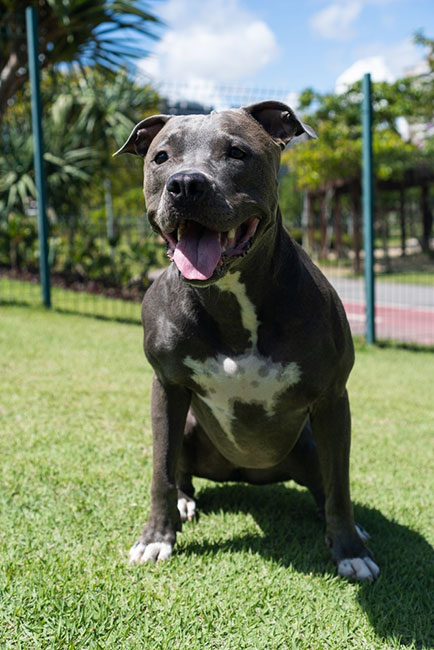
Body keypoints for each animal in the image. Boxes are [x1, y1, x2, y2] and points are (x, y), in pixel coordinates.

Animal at [115, 102, 380, 584]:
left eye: (237, 153)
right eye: (161, 157)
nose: (186, 184)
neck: (231, 297)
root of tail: (245, 473)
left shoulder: (333, 398)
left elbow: (341, 484)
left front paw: (350, 550)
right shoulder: (167, 387)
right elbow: (160, 471)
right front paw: (157, 538)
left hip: (309, 440)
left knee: (324, 485)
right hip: (189, 426)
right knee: (180, 472)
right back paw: (185, 504)